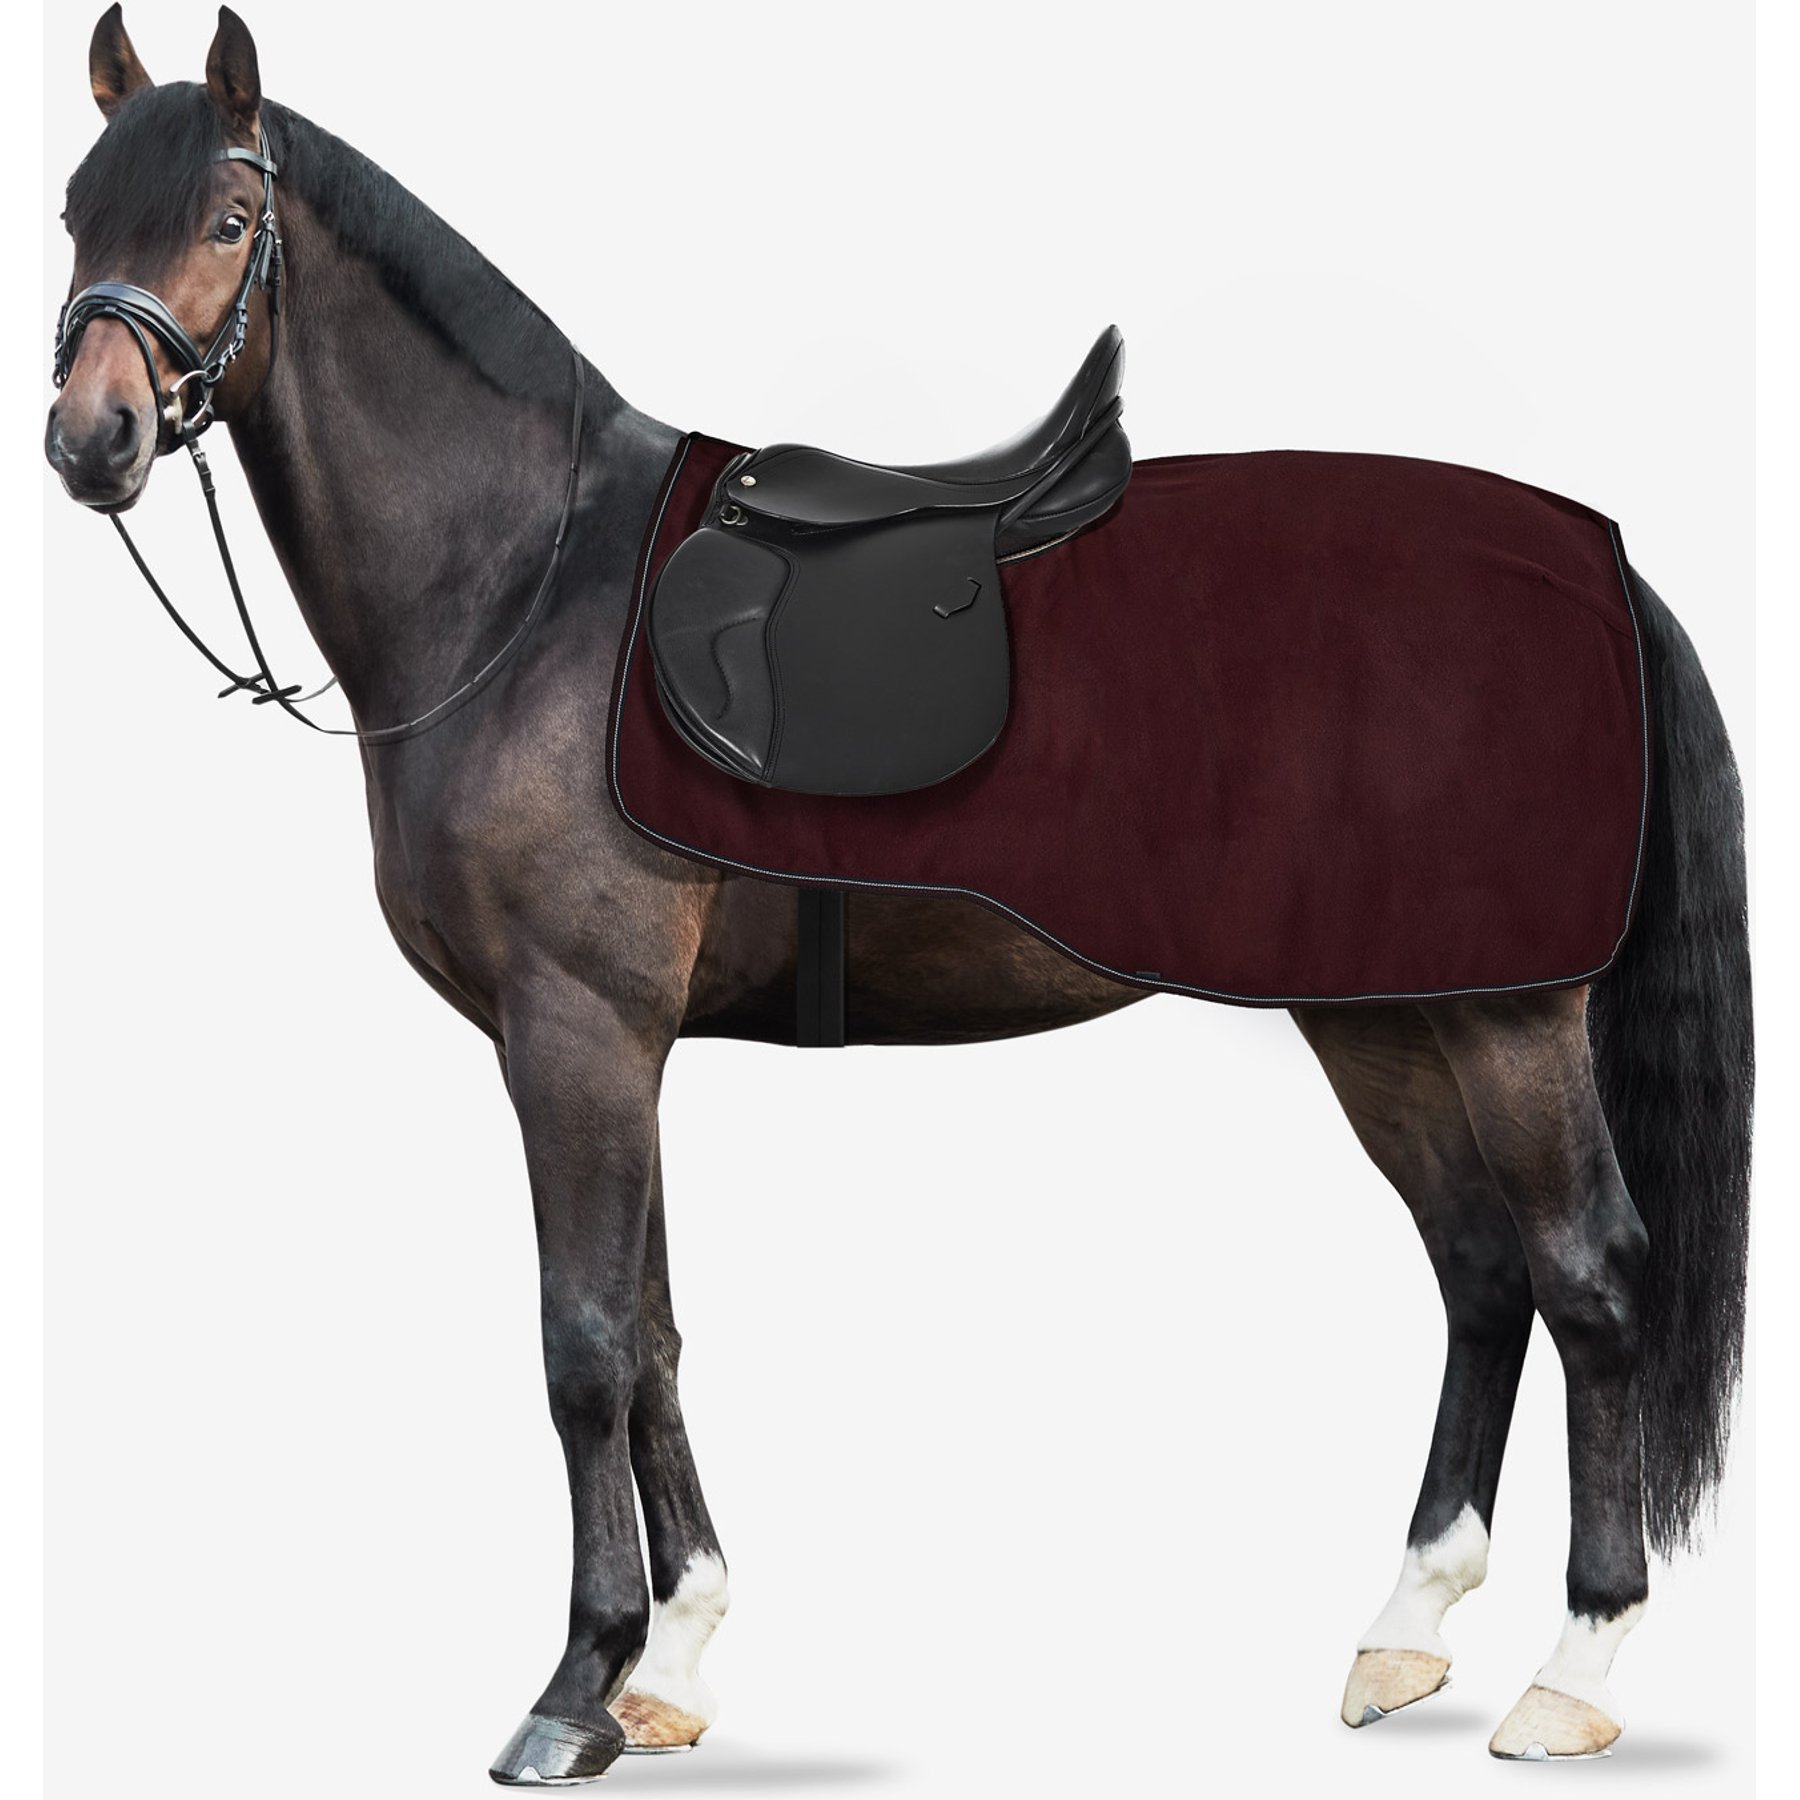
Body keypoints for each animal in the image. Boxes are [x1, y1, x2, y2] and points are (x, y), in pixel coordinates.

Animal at [46, 7, 1752, 1784]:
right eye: (73, 216)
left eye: (225, 222)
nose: (91, 439)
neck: (526, 581)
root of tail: (1597, 563)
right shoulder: (619, 1045)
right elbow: (655, 1332)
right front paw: (675, 1659)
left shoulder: (574, 1032)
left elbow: (582, 1345)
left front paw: (576, 1684)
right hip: (1383, 1013)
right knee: (1481, 1271)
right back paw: (1407, 1630)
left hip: (1506, 1016)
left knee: (1592, 1278)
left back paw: (1578, 1666)